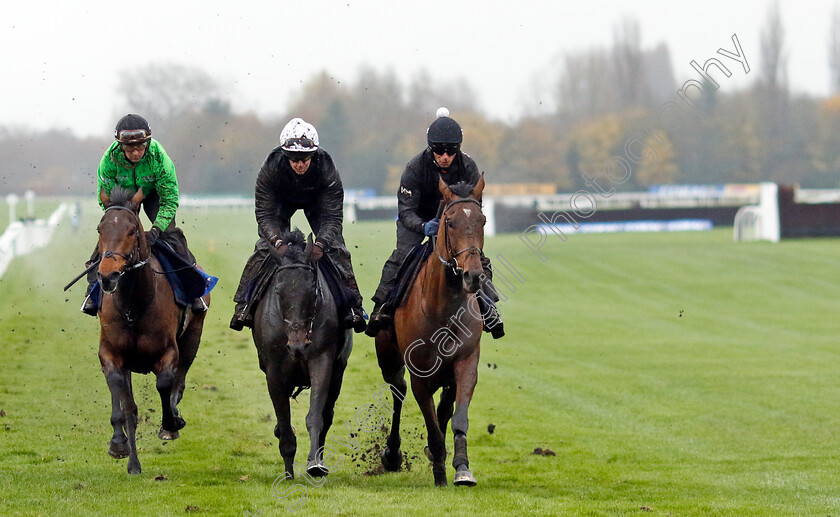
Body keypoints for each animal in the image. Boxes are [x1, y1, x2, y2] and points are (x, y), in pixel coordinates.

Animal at [93, 187, 207, 474]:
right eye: (100, 229)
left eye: (133, 231)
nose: (107, 276)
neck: (134, 304)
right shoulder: (110, 353)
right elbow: (125, 404)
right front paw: (121, 447)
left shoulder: (168, 351)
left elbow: (166, 383)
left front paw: (170, 423)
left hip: (193, 336)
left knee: (180, 380)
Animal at [253, 230, 352, 480]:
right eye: (278, 291)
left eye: (311, 289)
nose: (298, 345)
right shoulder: (274, 371)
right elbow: (283, 419)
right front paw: (288, 470)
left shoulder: (322, 360)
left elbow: (316, 415)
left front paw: (314, 463)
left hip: (338, 373)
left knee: (328, 413)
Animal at [374, 175, 486, 486]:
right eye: (449, 222)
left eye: (483, 220)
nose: (473, 275)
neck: (444, 310)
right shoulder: (419, 377)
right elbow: (432, 426)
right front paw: (439, 472)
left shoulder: (466, 362)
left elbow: (457, 417)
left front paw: (462, 467)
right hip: (388, 358)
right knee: (397, 393)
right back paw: (392, 454)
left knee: (445, 407)